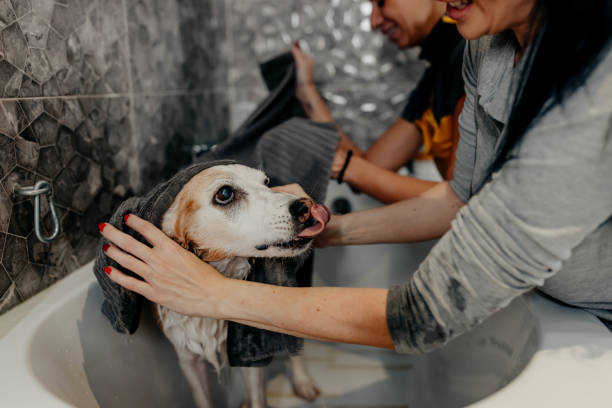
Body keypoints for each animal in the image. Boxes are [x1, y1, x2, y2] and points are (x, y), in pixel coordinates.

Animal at [155, 164, 332, 408]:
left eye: (266, 182)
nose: (306, 206)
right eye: (225, 194)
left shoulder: (249, 349)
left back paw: (303, 381)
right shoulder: (188, 360)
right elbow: (202, 398)